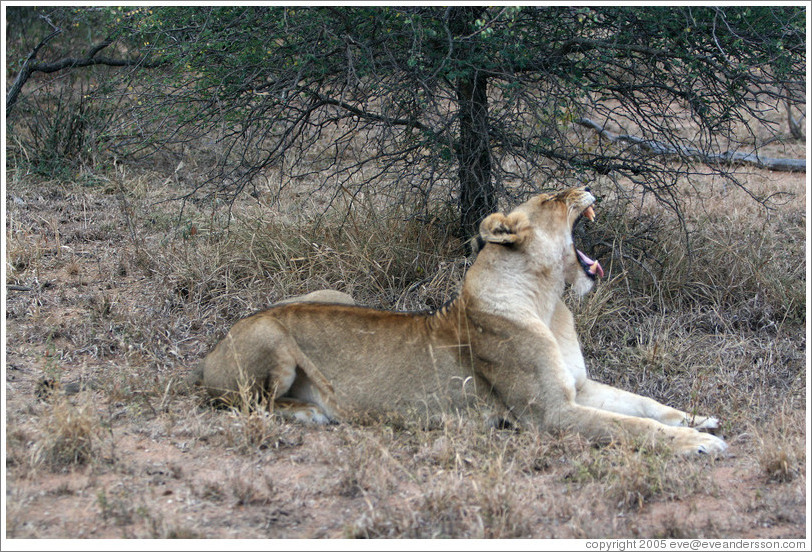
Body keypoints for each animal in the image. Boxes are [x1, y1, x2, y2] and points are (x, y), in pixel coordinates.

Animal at [196, 187, 727, 454]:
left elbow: (643, 404)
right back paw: (310, 411)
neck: (549, 302)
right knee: (247, 404)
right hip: (269, 339)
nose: (587, 184)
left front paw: (698, 418)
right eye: (553, 199)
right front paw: (698, 443)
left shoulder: (578, 388)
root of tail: (210, 351)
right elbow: (633, 428)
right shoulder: (549, 415)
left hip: (334, 294)